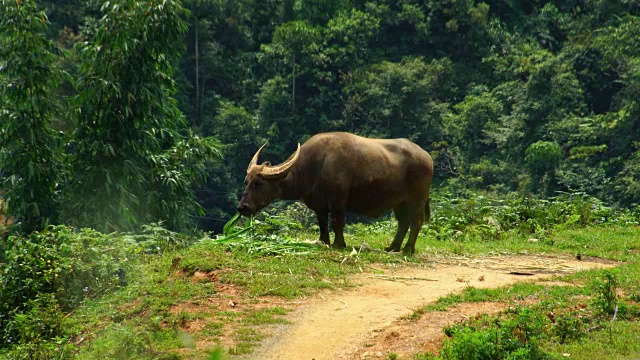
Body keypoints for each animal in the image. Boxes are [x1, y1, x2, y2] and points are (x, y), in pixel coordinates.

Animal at [236, 131, 436, 253]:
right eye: (246, 182)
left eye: (258, 183)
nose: (242, 207)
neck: (315, 166)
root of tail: (427, 157)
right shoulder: (319, 205)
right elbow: (322, 223)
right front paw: (323, 242)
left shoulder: (338, 201)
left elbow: (337, 222)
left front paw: (339, 244)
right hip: (399, 202)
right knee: (403, 222)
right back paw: (392, 247)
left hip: (417, 198)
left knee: (416, 221)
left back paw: (408, 249)